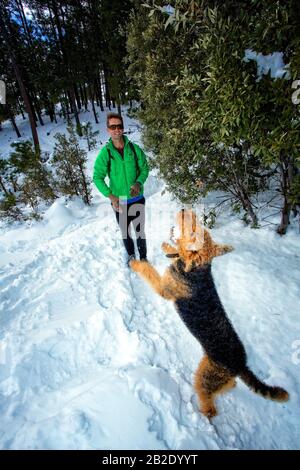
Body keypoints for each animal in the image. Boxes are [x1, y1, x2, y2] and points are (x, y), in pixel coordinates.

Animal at [131, 209, 288, 418]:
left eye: (195, 232)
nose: (184, 210)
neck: (198, 269)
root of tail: (241, 365)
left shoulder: (164, 289)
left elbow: (148, 270)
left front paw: (135, 263)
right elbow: (175, 254)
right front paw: (168, 246)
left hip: (205, 378)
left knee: (209, 403)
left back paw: (203, 415)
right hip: (210, 370)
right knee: (229, 386)